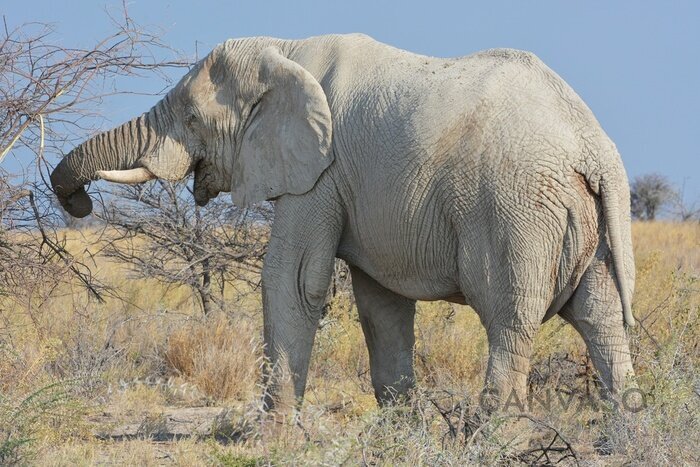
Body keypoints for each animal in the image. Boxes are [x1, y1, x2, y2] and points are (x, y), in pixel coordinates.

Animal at [52, 34, 636, 412]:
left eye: (193, 120)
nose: (79, 205)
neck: (284, 51)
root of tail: (594, 147)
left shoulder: (321, 173)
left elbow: (292, 280)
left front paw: (274, 440)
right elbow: (380, 305)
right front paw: (400, 435)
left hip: (517, 212)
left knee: (509, 321)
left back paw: (489, 441)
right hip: (589, 219)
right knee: (602, 321)